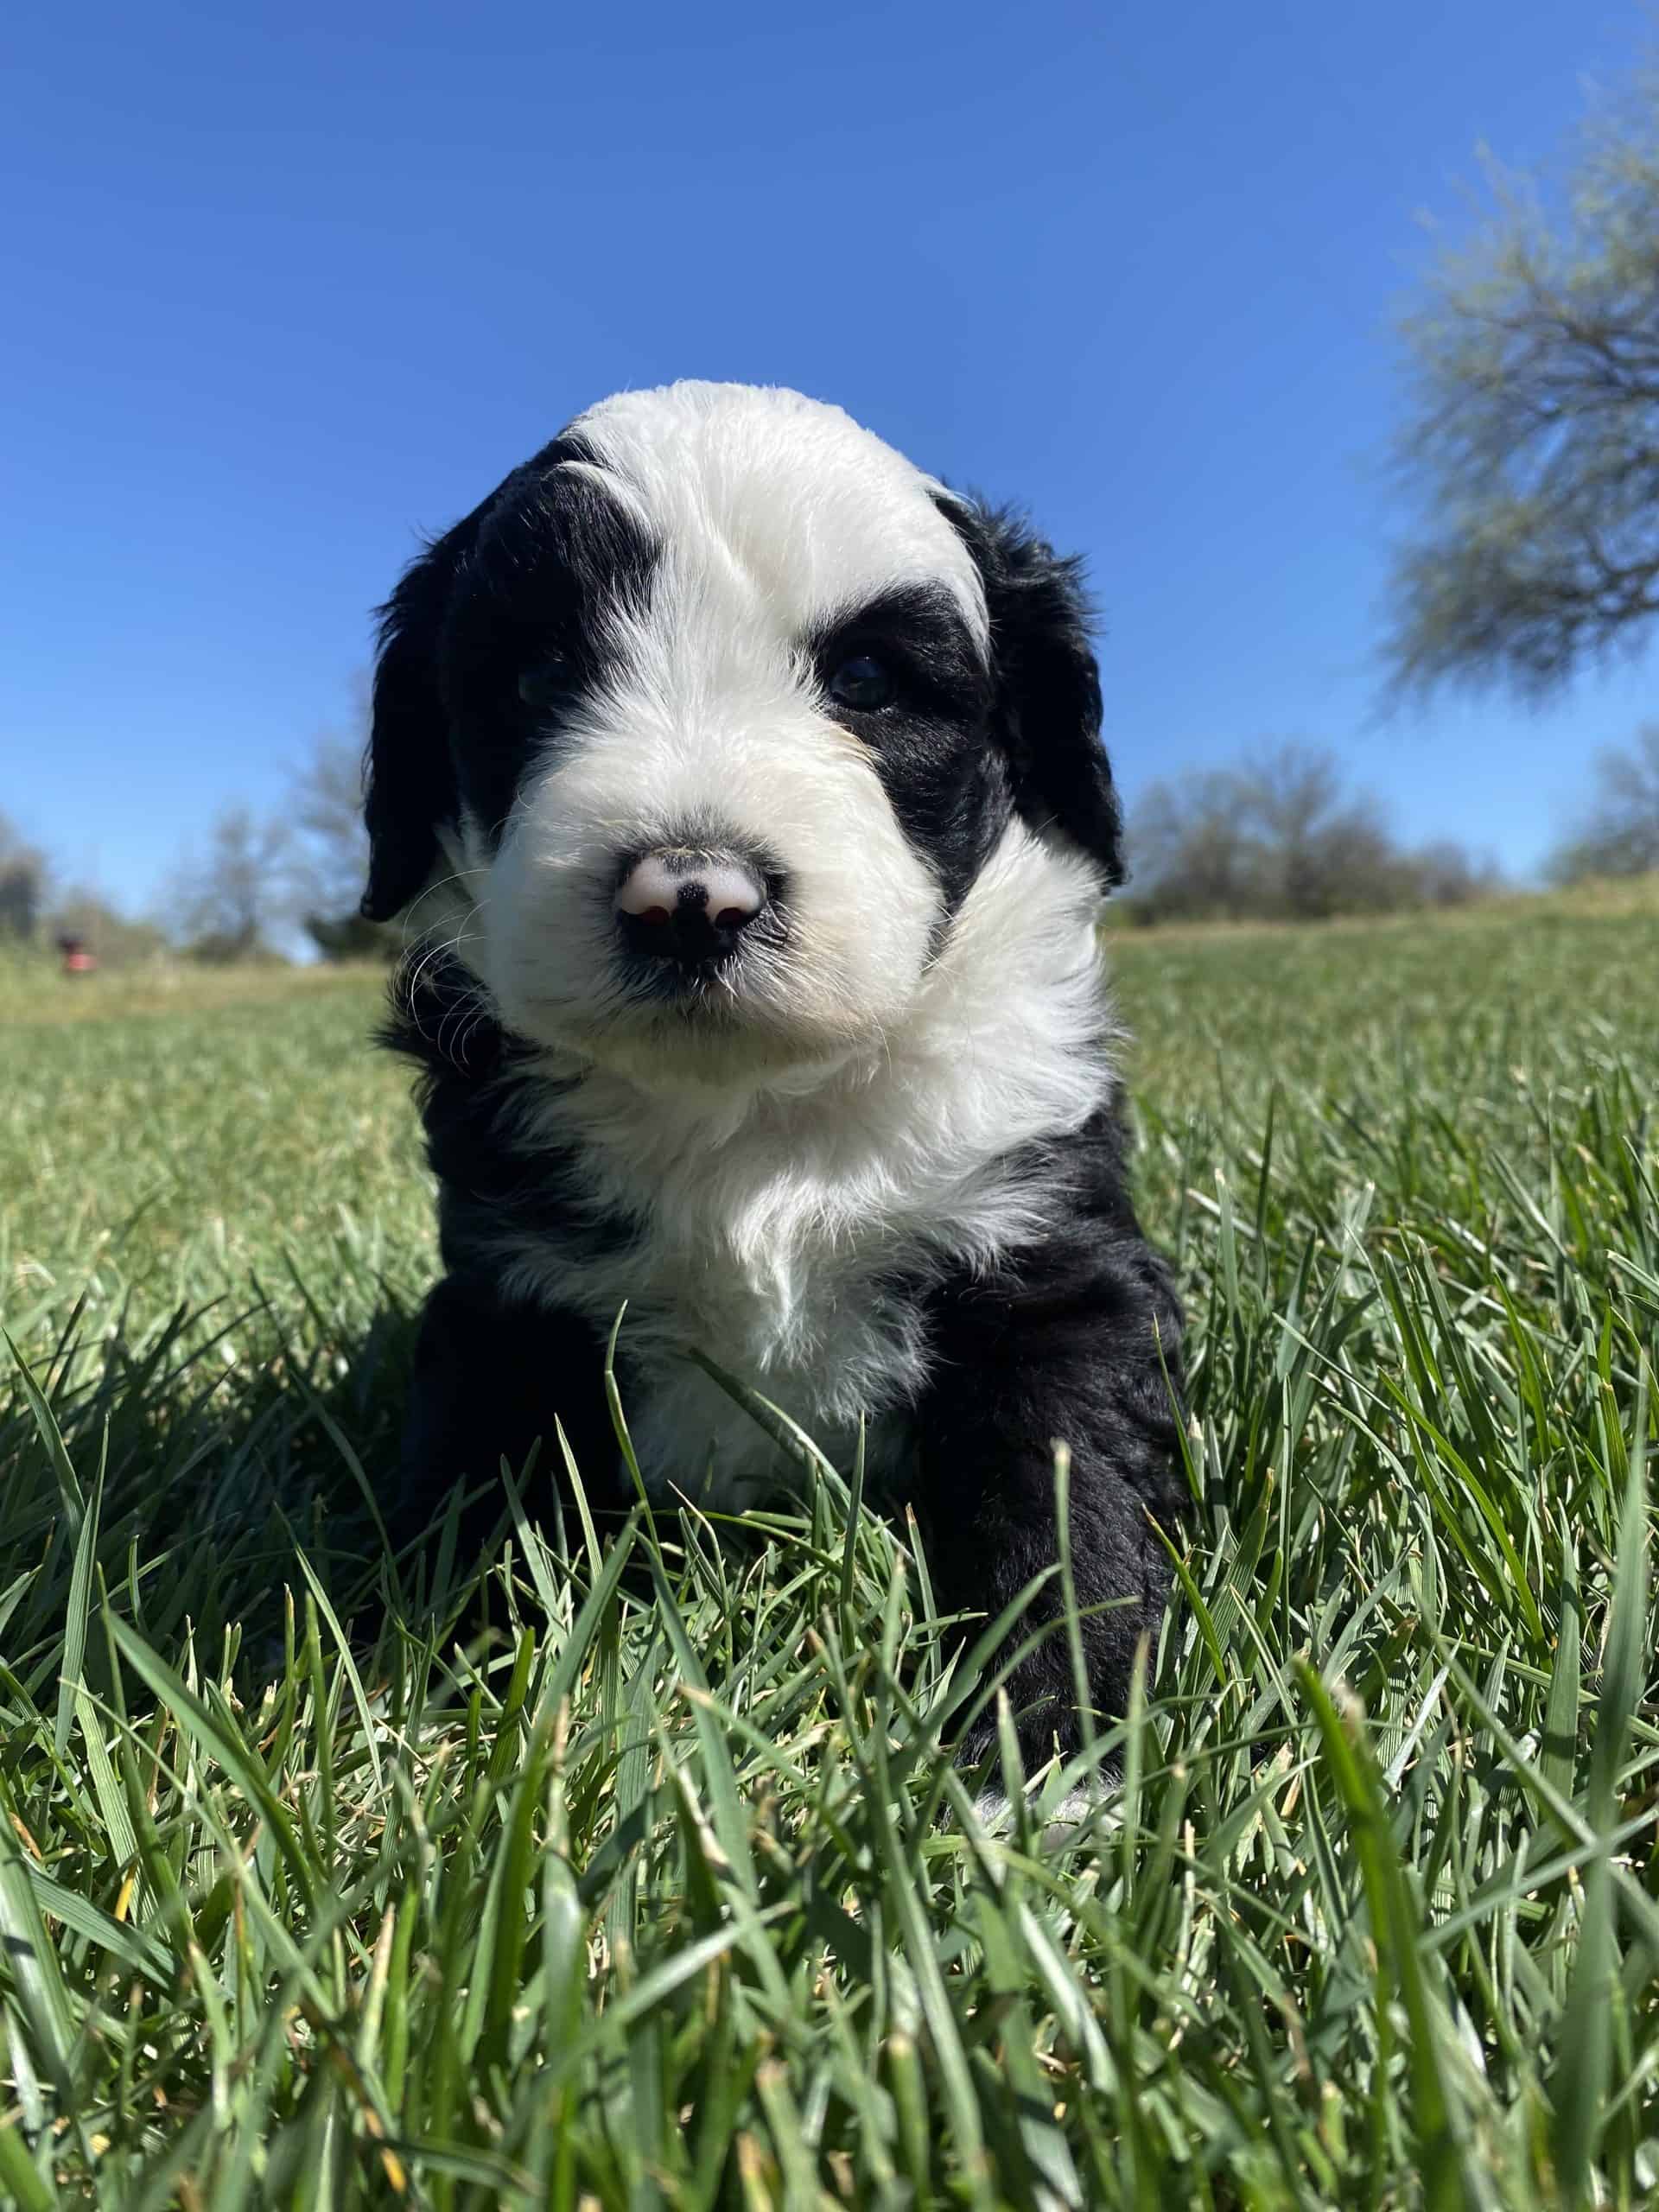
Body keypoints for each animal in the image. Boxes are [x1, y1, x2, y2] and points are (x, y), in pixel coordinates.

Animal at [366, 380, 1194, 1778]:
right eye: (537, 675)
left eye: (867, 681)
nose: (690, 896)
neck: (751, 1108)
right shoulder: (510, 1296)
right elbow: (477, 1491)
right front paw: (440, 1705)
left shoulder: (1043, 1259)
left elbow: (1064, 1502)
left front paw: (1051, 1740)